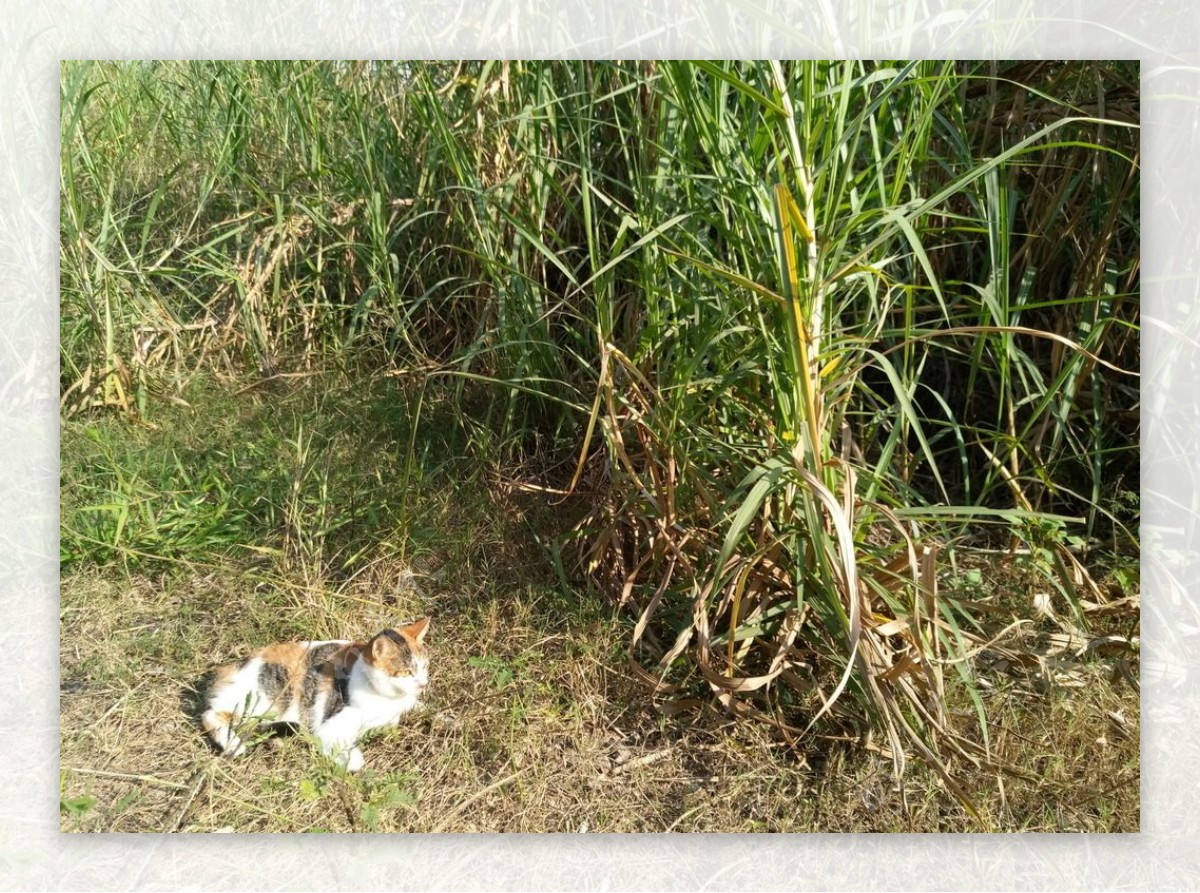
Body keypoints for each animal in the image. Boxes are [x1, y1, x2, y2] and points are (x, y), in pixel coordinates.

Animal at [202, 619, 432, 772]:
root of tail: (227, 669)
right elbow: (350, 756)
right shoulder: (329, 726)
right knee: (210, 715)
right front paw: (350, 761)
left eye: (424, 666)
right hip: (264, 700)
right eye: (406, 672)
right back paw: (234, 744)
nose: (423, 684)